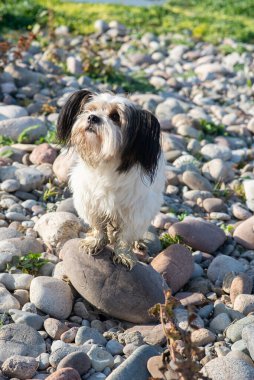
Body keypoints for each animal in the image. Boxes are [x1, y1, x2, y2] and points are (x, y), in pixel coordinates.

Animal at [57, 89, 165, 268]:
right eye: (90, 109)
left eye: (115, 116)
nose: (92, 117)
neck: (106, 164)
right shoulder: (91, 203)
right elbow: (98, 227)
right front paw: (94, 242)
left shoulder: (135, 213)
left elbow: (125, 236)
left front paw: (123, 255)